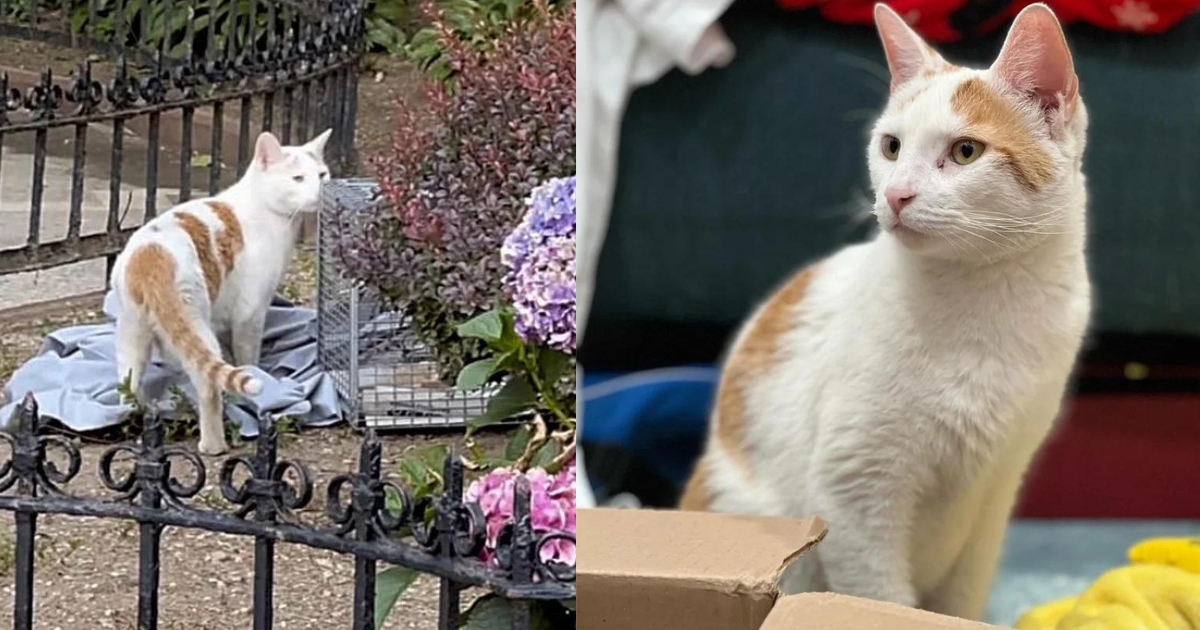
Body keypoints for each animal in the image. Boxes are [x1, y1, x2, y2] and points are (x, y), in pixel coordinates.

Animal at [112, 129, 331, 451]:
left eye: (322, 175)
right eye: (298, 179)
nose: (320, 193)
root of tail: (150, 256)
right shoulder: (250, 314)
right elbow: (248, 358)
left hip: (132, 332)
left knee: (128, 380)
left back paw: (137, 418)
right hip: (195, 321)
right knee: (207, 382)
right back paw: (214, 444)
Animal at [686, 2, 1089, 614]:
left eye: (966, 151)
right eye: (891, 147)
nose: (896, 194)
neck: (981, 296)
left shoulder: (997, 490)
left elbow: (962, 598)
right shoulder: (855, 487)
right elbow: (880, 596)